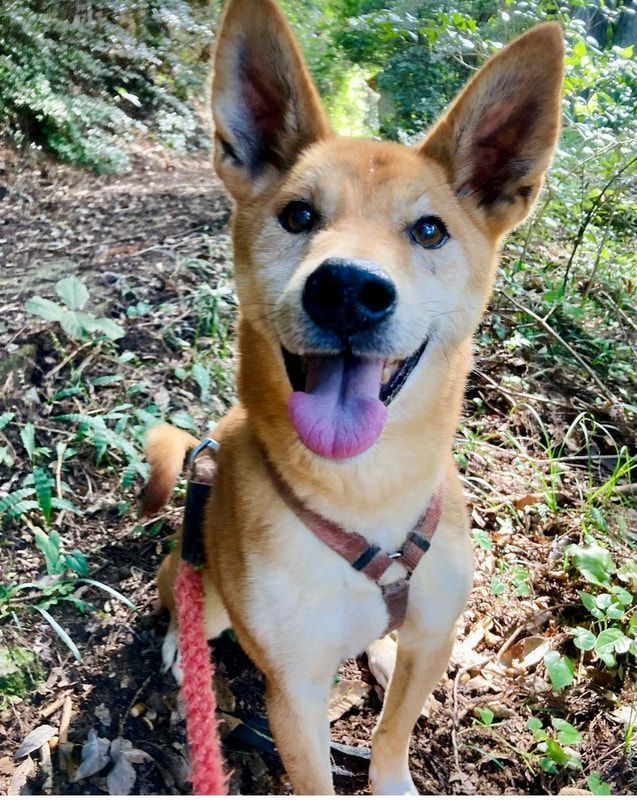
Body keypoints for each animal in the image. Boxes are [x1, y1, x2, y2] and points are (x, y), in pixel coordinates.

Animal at [144, 1, 560, 792]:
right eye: (298, 216)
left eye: (428, 230)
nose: (346, 289)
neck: (364, 492)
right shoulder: (294, 694)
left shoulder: (434, 635)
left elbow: (393, 732)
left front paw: (391, 778)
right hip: (202, 593)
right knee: (182, 605)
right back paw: (182, 648)